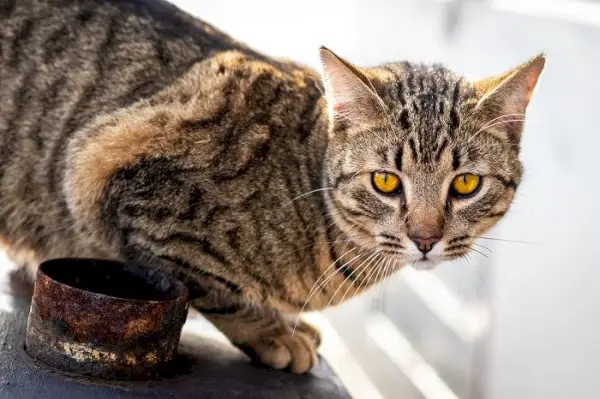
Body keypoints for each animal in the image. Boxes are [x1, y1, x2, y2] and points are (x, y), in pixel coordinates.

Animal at [0, 0, 544, 376]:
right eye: (386, 181)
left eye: (466, 184)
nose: (425, 239)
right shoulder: (111, 173)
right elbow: (213, 287)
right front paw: (273, 333)